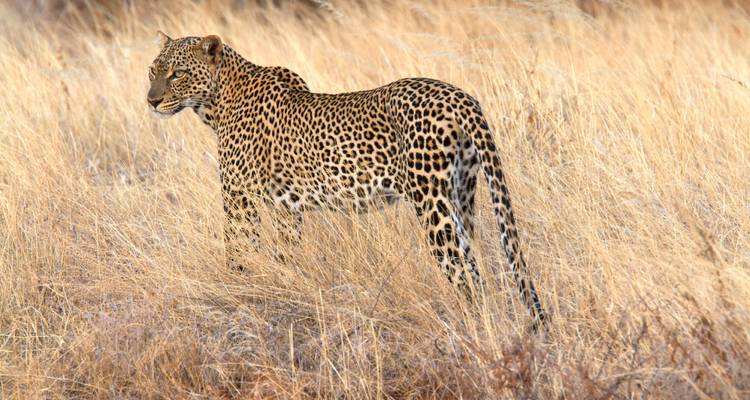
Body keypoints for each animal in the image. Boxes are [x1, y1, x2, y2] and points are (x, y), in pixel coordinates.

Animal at [147, 32, 547, 329]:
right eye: (153, 70)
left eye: (177, 74)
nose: (151, 101)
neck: (215, 104)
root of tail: (460, 97)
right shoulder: (285, 208)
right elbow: (283, 256)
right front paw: (280, 289)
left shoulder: (237, 196)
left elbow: (238, 252)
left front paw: (236, 290)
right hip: (463, 194)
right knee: (476, 265)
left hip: (432, 202)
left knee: (463, 271)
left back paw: (469, 329)